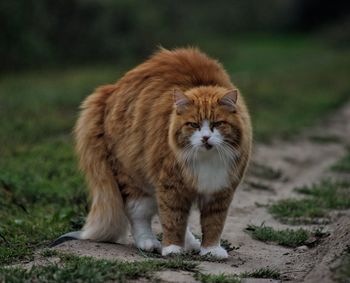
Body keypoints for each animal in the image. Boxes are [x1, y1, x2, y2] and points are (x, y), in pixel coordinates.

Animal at [54, 47, 252, 260]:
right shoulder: (171, 185)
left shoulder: (221, 190)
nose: (206, 138)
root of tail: (108, 91)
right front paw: (172, 248)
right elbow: (172, 220)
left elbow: (214, 223)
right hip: (134, 177)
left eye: (217, 124)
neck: (206, 160)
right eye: (194, 125)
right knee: (138, 213)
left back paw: (191, 243)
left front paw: (211, 250)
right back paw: (149, 243)